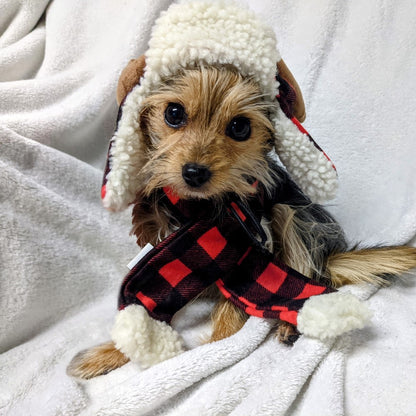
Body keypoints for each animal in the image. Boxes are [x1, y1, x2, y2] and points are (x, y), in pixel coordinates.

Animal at [66, 65, 416, 380]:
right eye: (174, 113)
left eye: (240, 127)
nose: (194, 173)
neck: (199, 209)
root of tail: (329, 255)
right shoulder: (176, 256)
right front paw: (108, 354)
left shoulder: (245, 249)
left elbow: (232, 312)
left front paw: (212, 352)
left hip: (294, 218)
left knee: (308, 273)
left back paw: (291, 321)